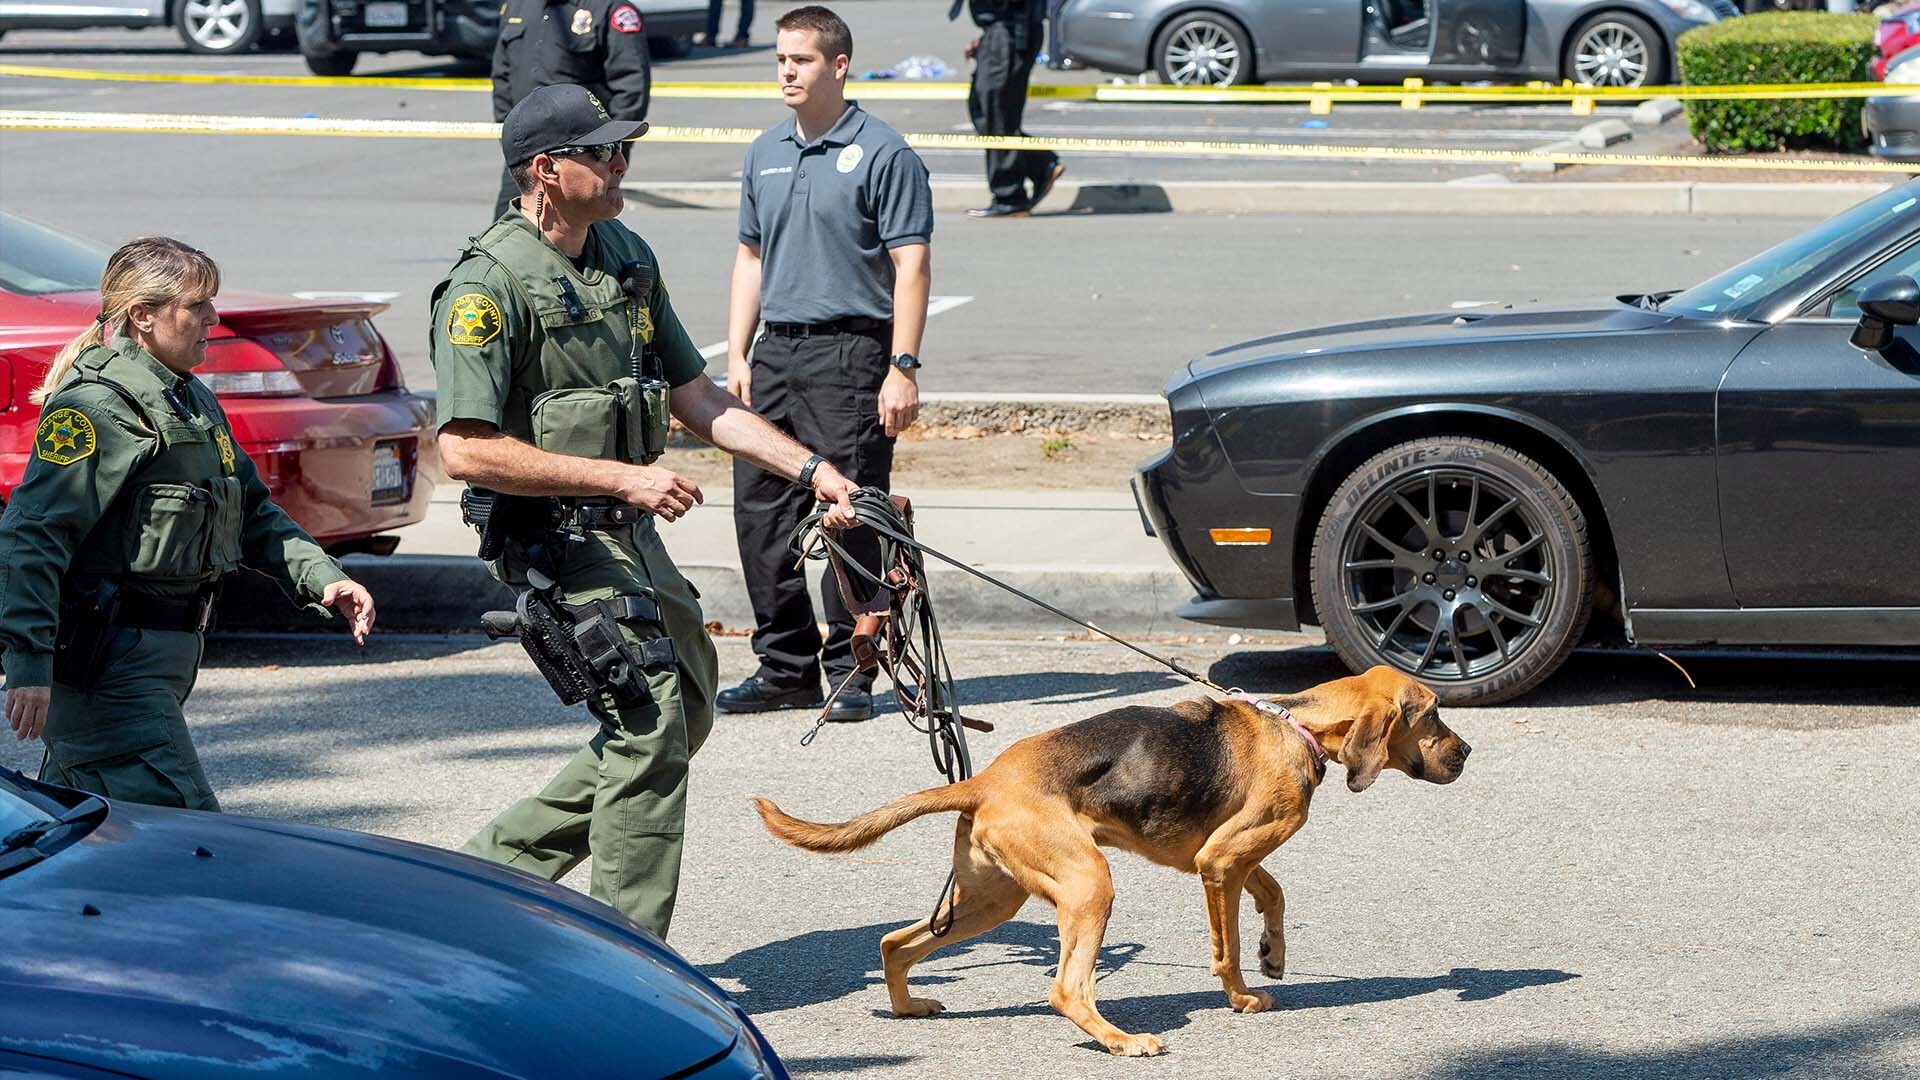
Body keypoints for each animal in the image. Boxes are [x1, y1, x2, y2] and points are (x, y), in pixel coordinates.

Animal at [748, 664, 1466, 1053]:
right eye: (1433, 715)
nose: (1467, 754)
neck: (1300, 726)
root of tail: (984, 781)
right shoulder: (1219, 862)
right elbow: (1227, 948)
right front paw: (1242, 995)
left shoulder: (1224, 856)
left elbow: (1274, 894)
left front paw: (1275, 955)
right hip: (1088, 885)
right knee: (1067, 989)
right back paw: (1122, 1041)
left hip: (990, 900)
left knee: (896, 943)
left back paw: (907, 1007)